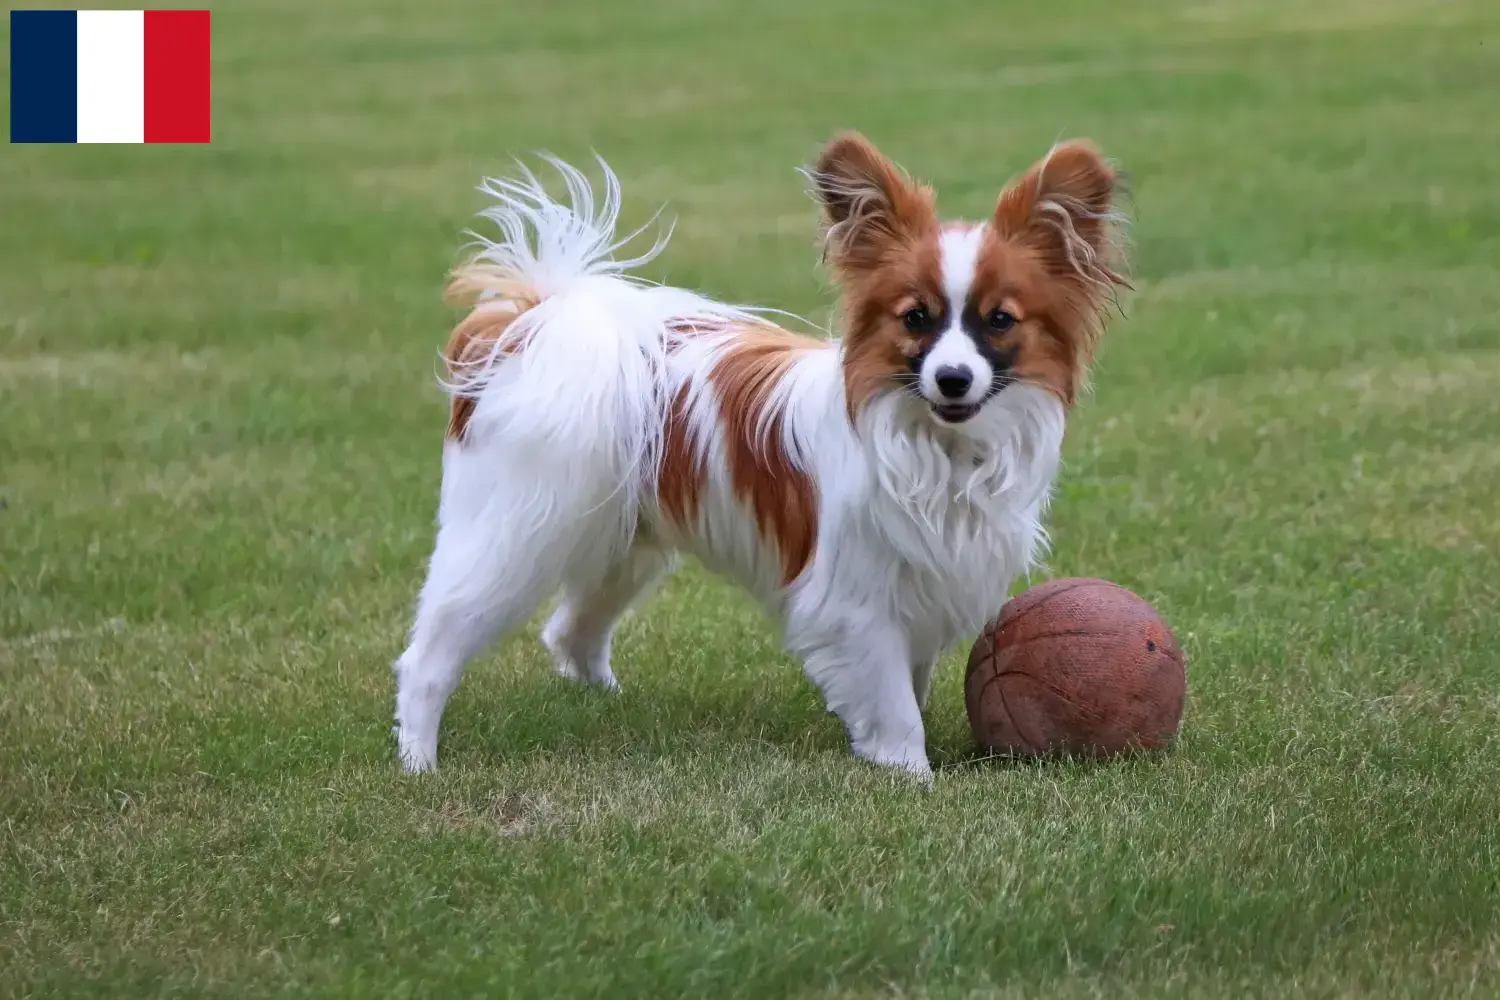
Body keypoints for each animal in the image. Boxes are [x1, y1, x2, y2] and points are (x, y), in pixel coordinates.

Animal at [396, 132, 1128, 779]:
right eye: (915, 318)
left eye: (999, 320)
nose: (951, 378)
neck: (939, 448)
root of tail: (533, 318)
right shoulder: (855, 604)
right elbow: (894, 708)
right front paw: (910, 775)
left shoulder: (924, 584)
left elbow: (911, 685)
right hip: (518, 534)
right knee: (430, 655)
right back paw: (418, 763)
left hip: (620, 544)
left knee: (571, 632)